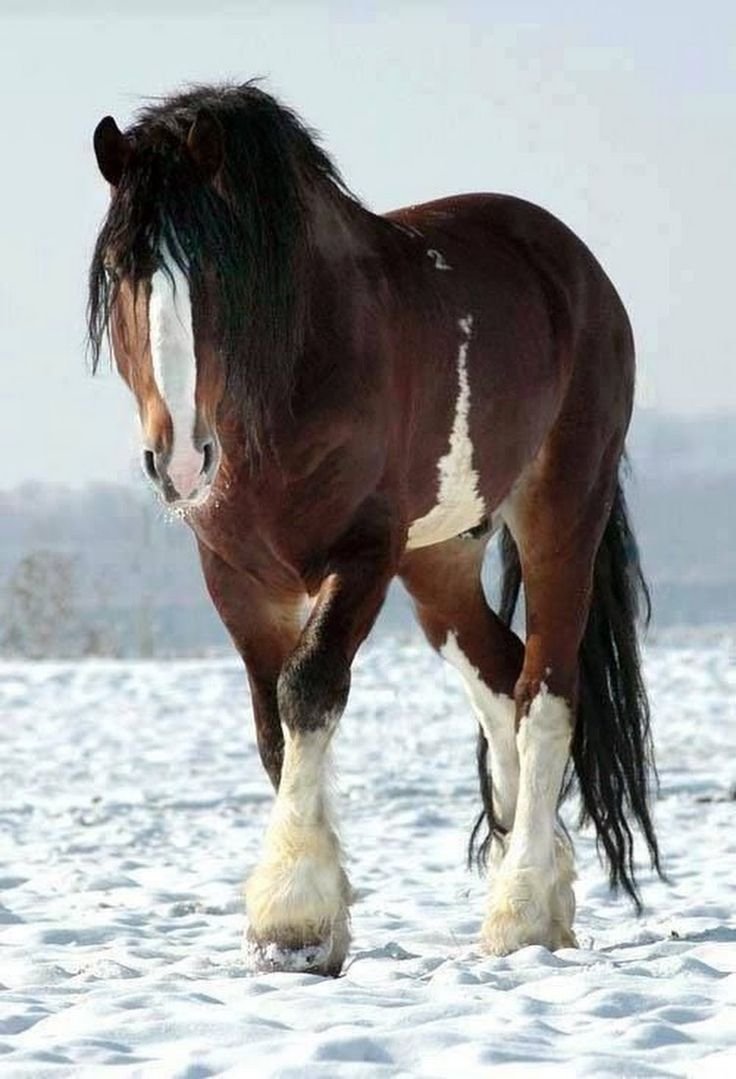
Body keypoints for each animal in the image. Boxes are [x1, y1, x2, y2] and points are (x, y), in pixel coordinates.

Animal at [87, 82, 660, 979]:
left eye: (213, 271)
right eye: (119, 270)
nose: (177, 459)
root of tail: (578, 269)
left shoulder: (361, 556)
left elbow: (309, 689)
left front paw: (292, 916)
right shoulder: (235, 577)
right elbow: (272, 725)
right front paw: (304, 924)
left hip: (563, 511)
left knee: (546, 692)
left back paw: (522, 911)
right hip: (440, 561)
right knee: (501, 680)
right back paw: (549, 892)